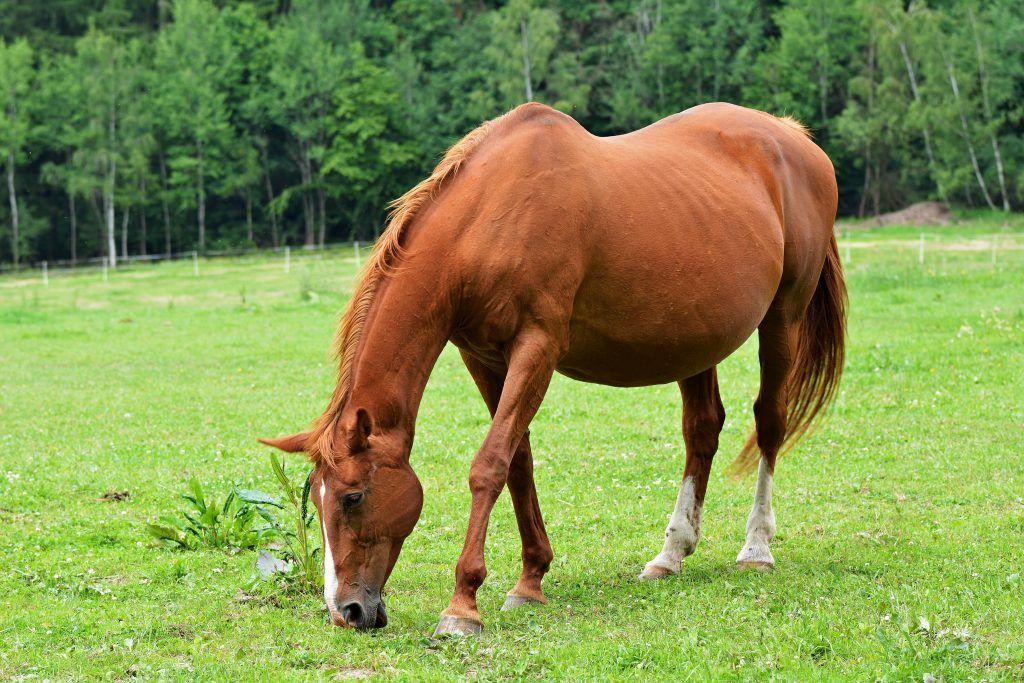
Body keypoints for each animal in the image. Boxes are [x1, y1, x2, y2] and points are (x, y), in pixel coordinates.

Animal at [259, 101, 846, 637]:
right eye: (316, 497)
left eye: (354, 496)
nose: (346, 611)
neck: (490, 218)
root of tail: (793, 138)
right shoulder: (482, 356)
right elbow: (518, 461)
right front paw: (529, 580)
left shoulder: (537, 347)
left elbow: (490, 463)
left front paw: (462, 606)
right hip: (695, 340)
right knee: (702, 431)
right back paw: (671, 554)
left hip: (783, 318)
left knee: (769, 421)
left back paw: (756, 547)